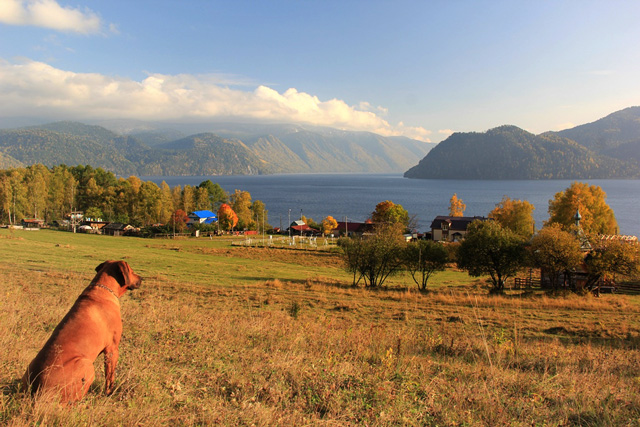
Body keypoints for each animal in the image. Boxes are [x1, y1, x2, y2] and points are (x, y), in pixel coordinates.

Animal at [23, 260, 142, 404]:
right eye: (131, 270)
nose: (142, 279)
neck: (104, 288)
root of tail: (37, 390)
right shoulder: (112, 349)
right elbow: (110, 377)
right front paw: (109, 394)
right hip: (87, 364)